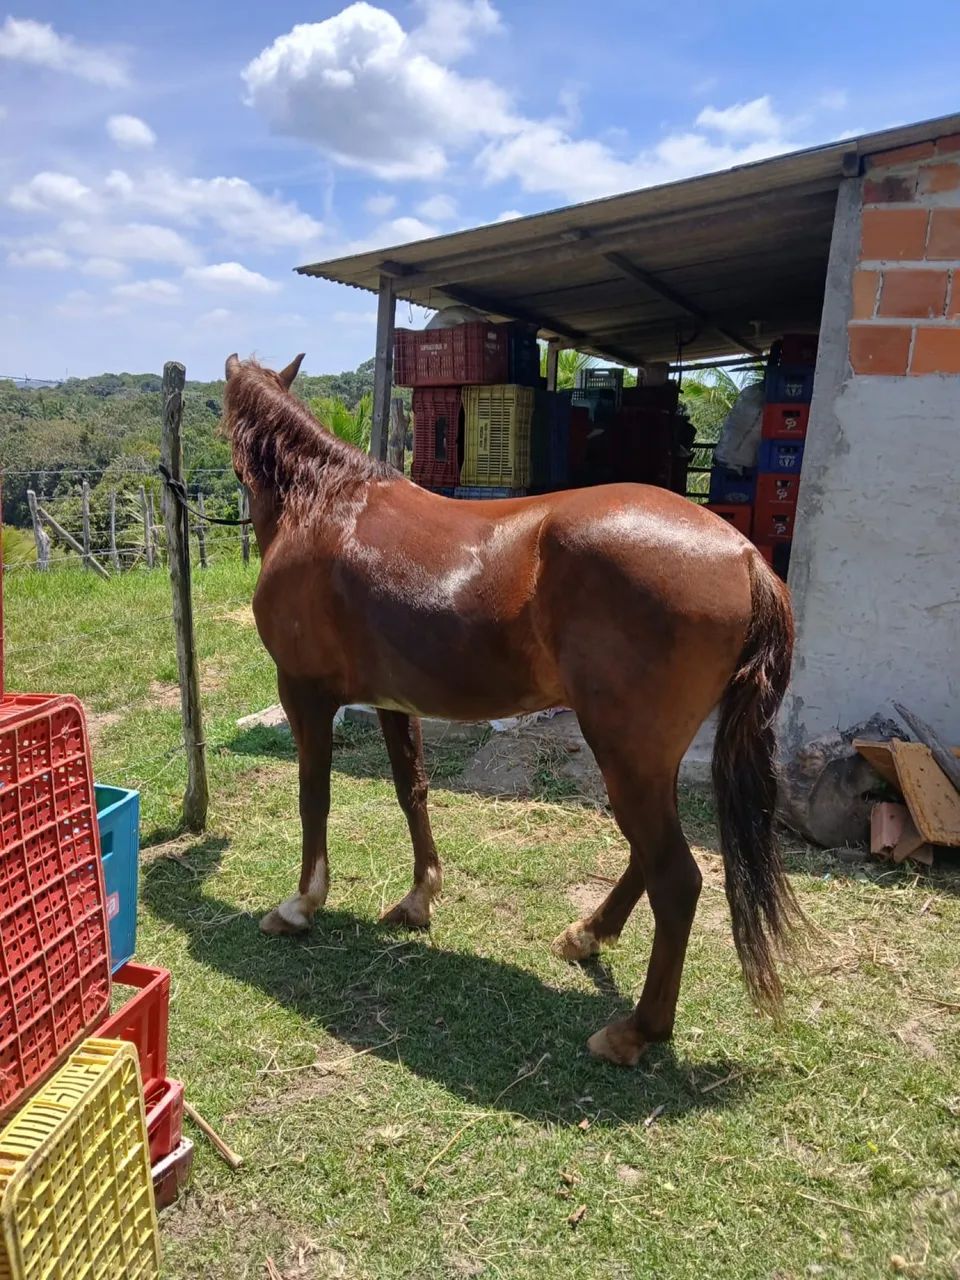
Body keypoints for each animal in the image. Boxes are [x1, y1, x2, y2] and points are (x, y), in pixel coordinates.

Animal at [223, 352, 798, 1067]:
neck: (325, 504)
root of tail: (744, 555)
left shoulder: (303, 691)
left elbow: (314, 795)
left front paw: (301, 906)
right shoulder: (392, 701)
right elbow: (412, 790)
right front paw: (419, 899)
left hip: (624, 753)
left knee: (676, 878)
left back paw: (634, 1031)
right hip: (645, 757)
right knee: (650, 857)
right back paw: (587, 935)